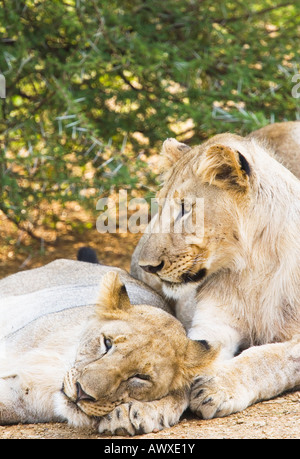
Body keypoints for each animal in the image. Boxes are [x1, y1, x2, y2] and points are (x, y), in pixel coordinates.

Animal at [131, 120, 300, 418]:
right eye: (160, 206)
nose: (147, 265)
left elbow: (269, 357)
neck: (252, 265)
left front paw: (217, 387)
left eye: (185, 209)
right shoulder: (214, 323)